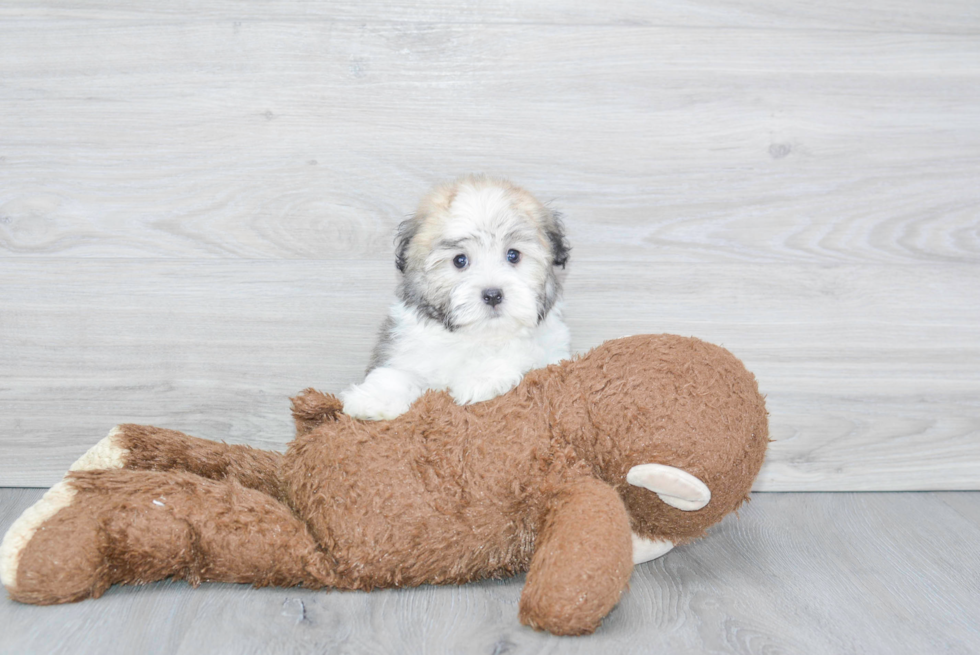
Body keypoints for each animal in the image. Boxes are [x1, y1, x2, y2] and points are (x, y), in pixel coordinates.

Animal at [342, 174, 572, 420]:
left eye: (513, 255)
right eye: (459, 260)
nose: (493, 295)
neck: (474, 338)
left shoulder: (551, 350)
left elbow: (521, 349)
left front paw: (482, 377)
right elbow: (398, 371)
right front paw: (374, 398)